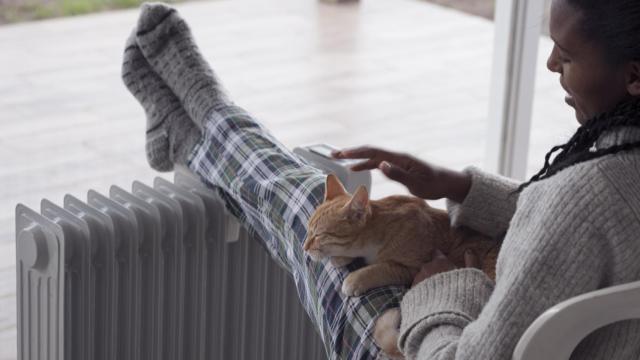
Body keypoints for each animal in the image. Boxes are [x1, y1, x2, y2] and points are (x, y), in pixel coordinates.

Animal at [304, 174, 500, 358]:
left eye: (319, 235)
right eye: (308, 230)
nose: (305, 248)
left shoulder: (414, 267)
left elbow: (382, 268)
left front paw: (355, 279)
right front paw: (340, 258)